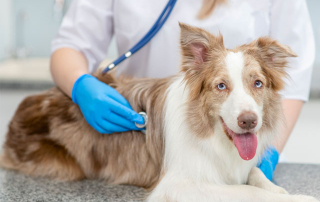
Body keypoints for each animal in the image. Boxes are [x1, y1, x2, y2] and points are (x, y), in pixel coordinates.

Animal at [0, 23, 318, 202]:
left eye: (258, 83)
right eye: (221, 86)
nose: (249, 121)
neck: (214, 136)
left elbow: (255, 173)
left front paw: (278, 189)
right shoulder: (178, 185)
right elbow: (247, 192)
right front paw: (301, 198)